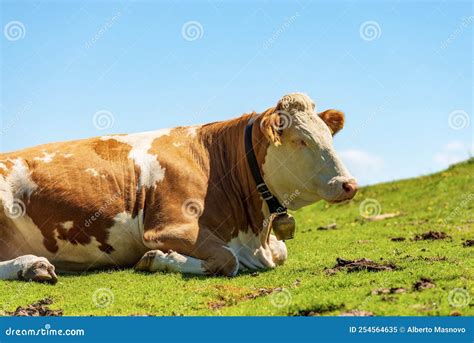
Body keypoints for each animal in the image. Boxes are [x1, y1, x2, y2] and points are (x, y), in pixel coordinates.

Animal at [0, 92, 356, 284]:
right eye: (300, 140)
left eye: (328, 134)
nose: (348, 184)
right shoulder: (167, 227)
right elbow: (226, 259)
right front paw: (157, 258)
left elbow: (280, 252)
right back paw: (31, 266)